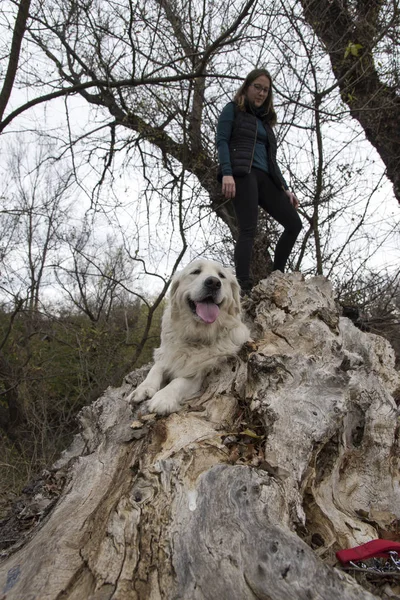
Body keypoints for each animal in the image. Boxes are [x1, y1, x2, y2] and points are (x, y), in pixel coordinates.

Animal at [126, 260, 248, 414]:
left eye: (221, 275)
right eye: (196, 271)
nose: (214, 283)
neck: (196, 334)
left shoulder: (200, 372)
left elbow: (178, 381)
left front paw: (163, 398)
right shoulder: (166, 353)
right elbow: (155, 369)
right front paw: (142, 389)